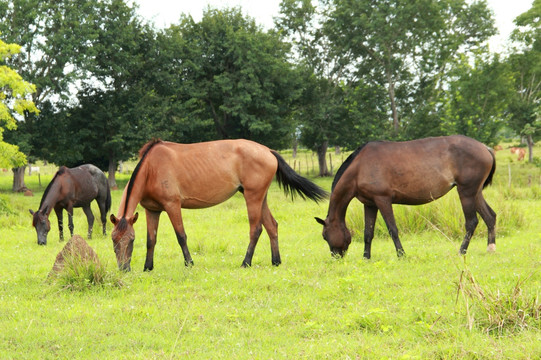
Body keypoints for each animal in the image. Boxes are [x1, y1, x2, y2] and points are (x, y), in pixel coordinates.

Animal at [109, 139, 326, 272]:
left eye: (131, 241)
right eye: (113, 240)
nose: (124, 269)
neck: (151, 168)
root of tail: (268, 151)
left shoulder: (172, 206)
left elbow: (181, 236)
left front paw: (189, 263)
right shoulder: (152, 210)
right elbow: (151, 240)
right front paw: (148, 267)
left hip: (253, 197)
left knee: (256, 229)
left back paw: (246, 262)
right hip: (260, 197)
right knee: (272, 226)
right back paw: (276, 261)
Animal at [314, 136, 496, 258]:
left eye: (324, 236)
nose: (336, 257)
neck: (359, 167)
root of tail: (485, 148)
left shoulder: (383, 200)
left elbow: (392, 229)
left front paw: (401, 254)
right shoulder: (370, 204)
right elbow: (368, 232)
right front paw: (366, 257)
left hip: (466, 192)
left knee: (472, 222)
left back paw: (461, 251)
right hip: (475, 192)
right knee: (490, 216)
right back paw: (491, 248)